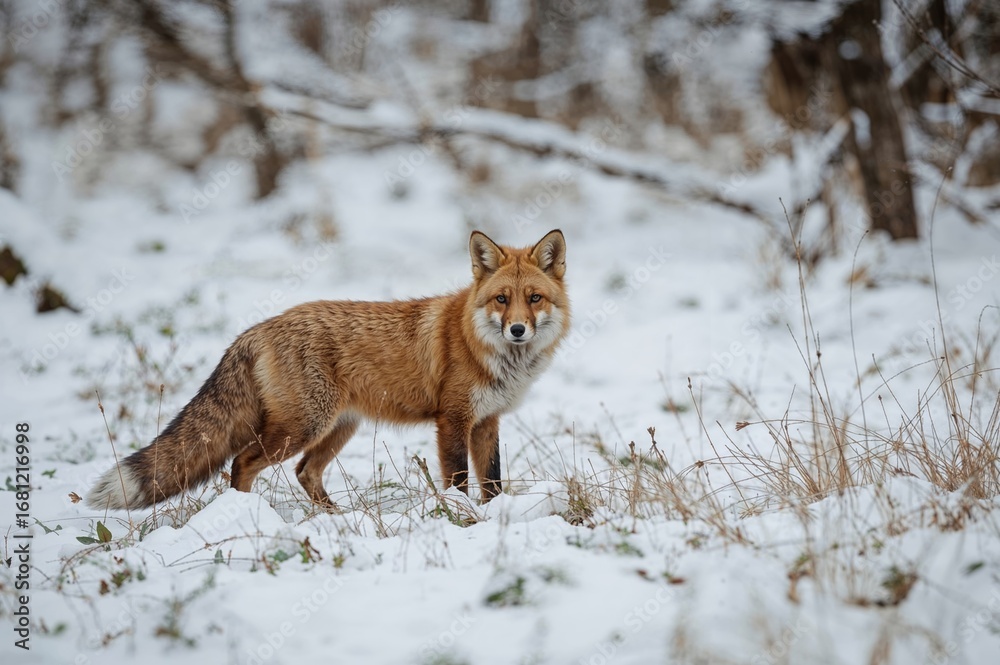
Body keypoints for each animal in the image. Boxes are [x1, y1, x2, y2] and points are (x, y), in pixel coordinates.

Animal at [86, 229, 570, 510]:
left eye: (535, 298)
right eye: (502, 299)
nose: (518, 330)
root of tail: (257, 328)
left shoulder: (487, 421)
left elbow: (493, 483)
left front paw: (491, 518)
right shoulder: (452, 419)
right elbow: (459, 482)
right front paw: (464, 519)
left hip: (337, 427)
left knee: (305, 472)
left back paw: (333, 517)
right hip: (304, 425)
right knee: (242, 464)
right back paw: (246, 517)